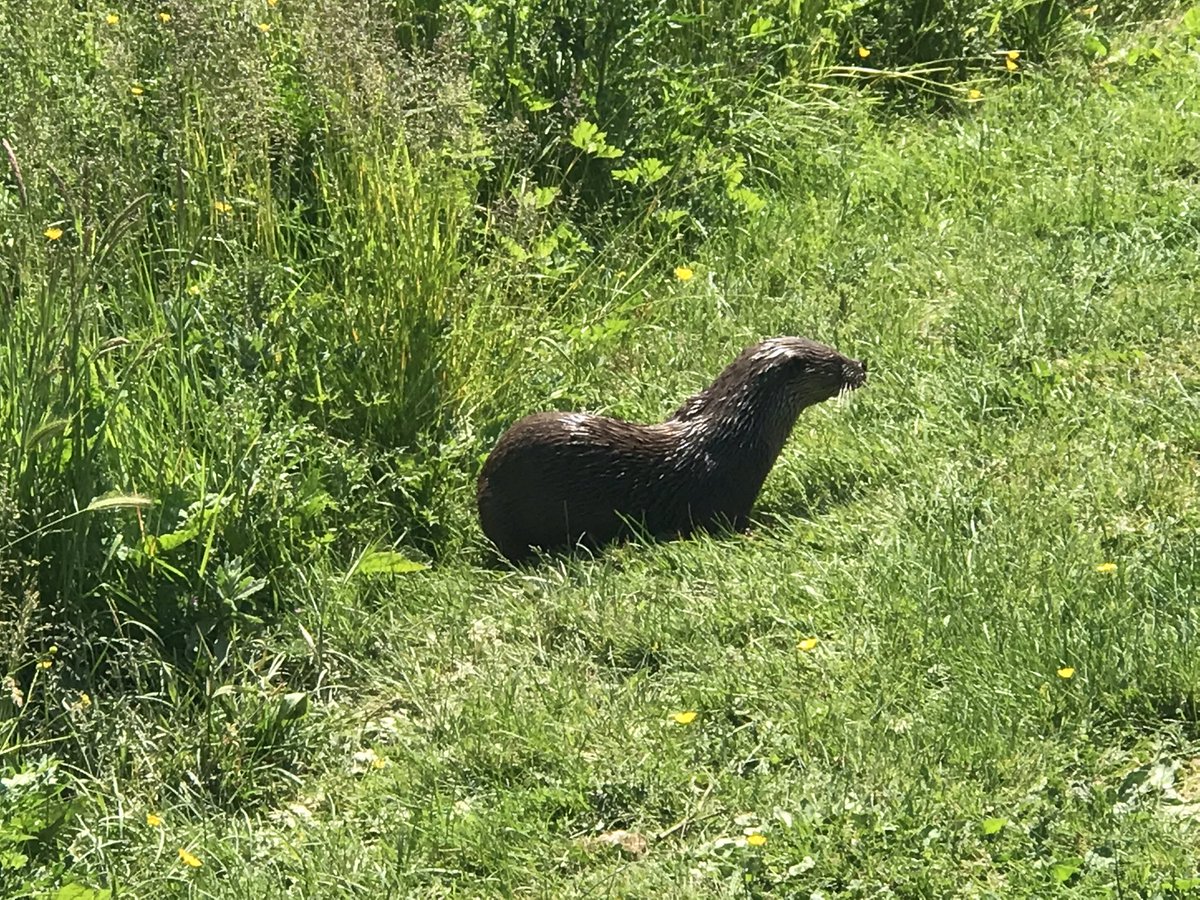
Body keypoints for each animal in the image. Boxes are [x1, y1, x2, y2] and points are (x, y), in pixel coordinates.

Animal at [477, 337, 867, 562]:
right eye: (835, 362)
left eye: (835, 348)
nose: (862, 365)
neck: (739, 437)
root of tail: (484, 481)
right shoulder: (726, 504)